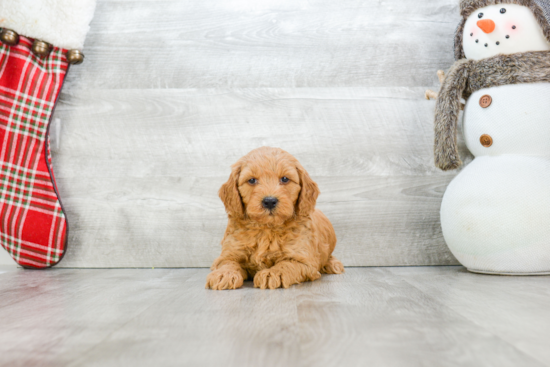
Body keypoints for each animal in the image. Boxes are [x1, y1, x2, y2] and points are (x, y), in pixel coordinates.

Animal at [207, 147, 344, 290]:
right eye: (251, 180)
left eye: (284, 179)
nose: (269, 201)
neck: (266, 228)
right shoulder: (229, 252)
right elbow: (227, 262)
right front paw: (223, 274)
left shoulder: (304, 260)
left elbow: (287, 264)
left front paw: (271, 273)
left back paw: (332, 264)